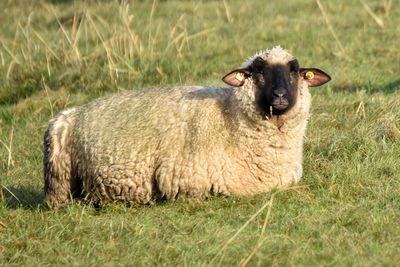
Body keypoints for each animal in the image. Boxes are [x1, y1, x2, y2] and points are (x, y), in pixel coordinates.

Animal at [43, 47, 332, 208]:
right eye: (258, 71)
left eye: (294, 71)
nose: (280, 96)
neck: (230, 119)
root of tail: (70, 115)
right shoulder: (189, 184)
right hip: (59, 184)